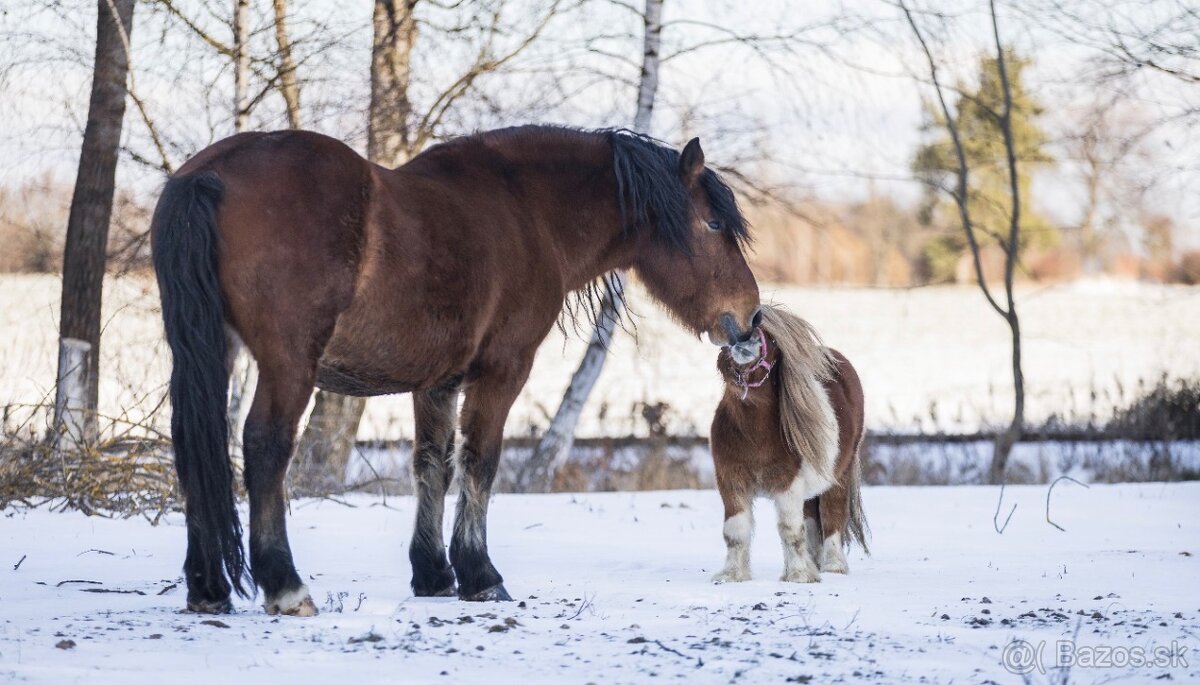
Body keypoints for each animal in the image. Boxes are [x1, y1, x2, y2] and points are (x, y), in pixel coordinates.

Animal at [150, 125, 762, 615]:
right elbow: (480, 463)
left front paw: (433, 573)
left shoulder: (437, 382)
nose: (750, 316)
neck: (528, 210)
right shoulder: (503, 368)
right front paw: (479, 574)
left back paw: (207, 588)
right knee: (265, 447)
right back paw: (285, 586)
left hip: (206, 351)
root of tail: (210, 174)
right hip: (287, 362)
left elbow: (432, 465)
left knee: (194, 443)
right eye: (712, 223)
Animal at [709, 304, 868, 583]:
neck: (754, 435)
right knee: (813, 522)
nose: (744, 341)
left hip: (838, 477)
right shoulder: (731, 481)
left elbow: (790, 529)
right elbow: (735, 530)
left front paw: (798, 575)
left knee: (832, 518)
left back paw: (833, 567)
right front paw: (731, 575)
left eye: (771, 339)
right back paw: (815, 563)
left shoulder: (787, 483)